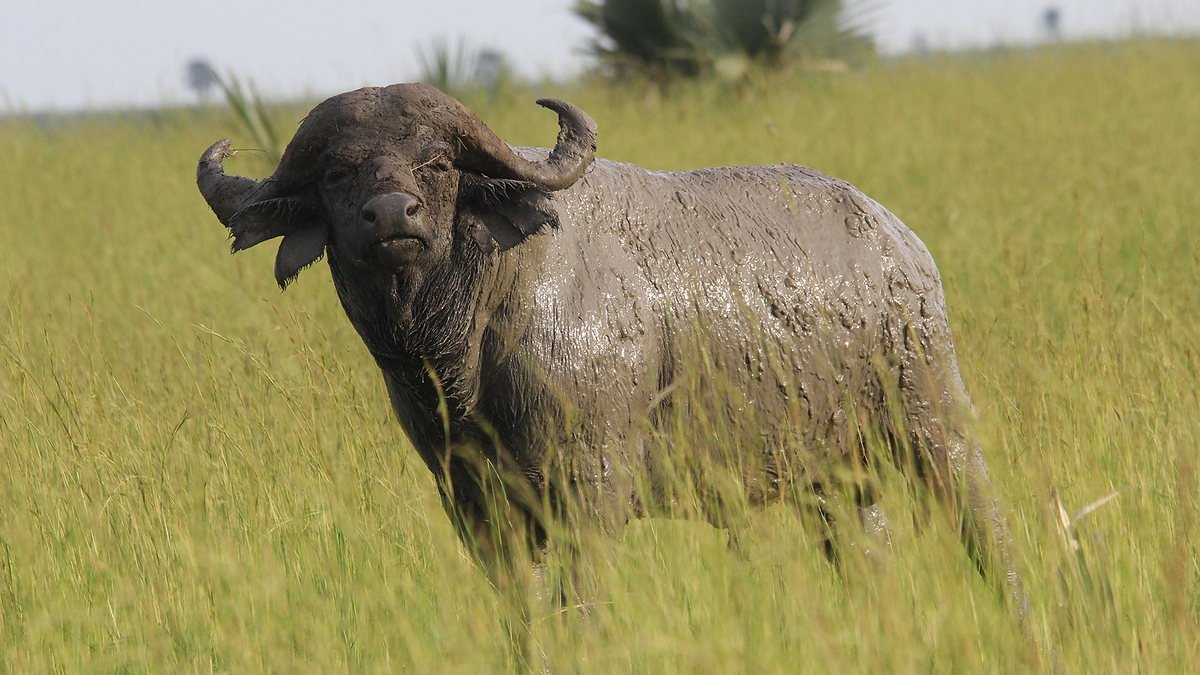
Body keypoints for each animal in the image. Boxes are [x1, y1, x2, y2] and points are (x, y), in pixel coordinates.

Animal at [196, 83, 1024, 615]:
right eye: (338, 171)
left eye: (437, 162)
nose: (391, 214)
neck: (469, 341)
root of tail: (899, 243)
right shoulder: (472, 500)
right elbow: (525, 616)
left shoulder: (589, 488)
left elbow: (581, 605)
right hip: (834, 478)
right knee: (865, 558)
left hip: (934, 420)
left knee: (987, 530)